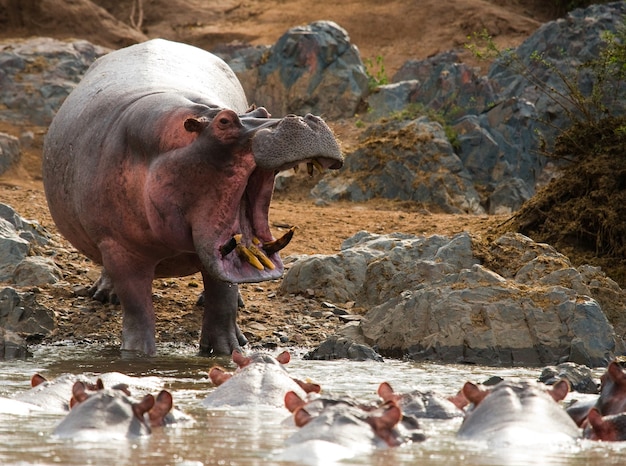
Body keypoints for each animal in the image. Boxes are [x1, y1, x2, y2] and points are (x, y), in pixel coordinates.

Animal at [41, 38, 344, 354]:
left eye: (263, 112)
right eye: (224, 122)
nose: (303, 119)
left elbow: (222, 300)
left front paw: (230, 350)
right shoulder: (118, 247)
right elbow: (137, 307)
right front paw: (137, 354)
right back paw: (103, 294)